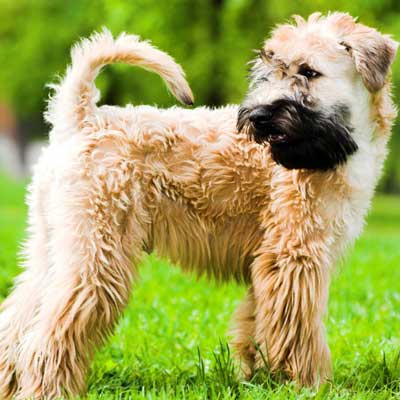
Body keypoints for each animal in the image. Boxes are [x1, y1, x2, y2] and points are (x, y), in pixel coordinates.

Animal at [0, 10, 396, 398]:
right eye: (270, 68)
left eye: (309, 72)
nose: (258, 117)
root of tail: (82, 118)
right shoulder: (294, 257)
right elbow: (299, 330)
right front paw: (309, 384)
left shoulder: (268, 263)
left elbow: (259, 324)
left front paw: (259, 379)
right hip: (98, 257)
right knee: (47, 336)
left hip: (54, 248)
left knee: (17, 324)